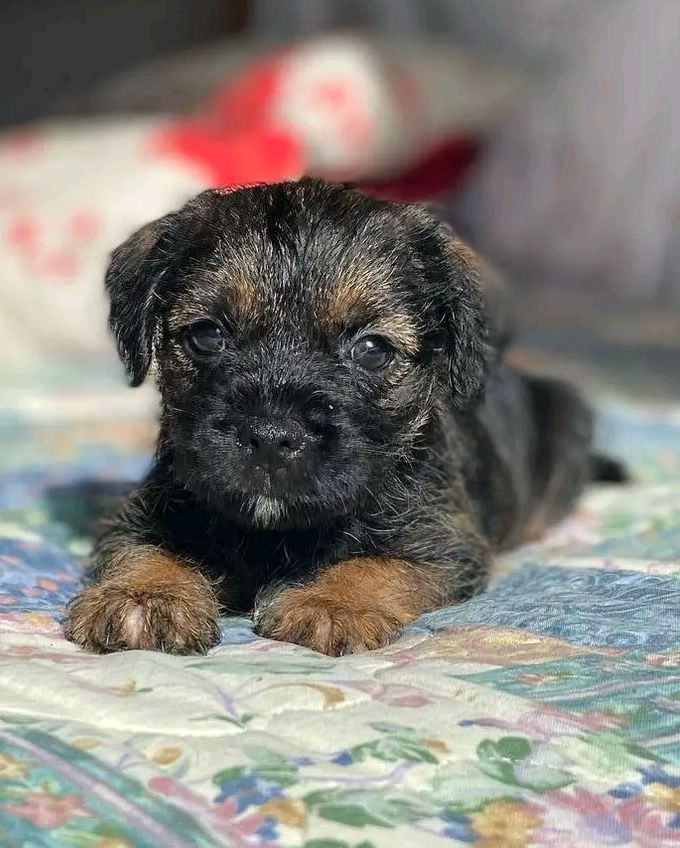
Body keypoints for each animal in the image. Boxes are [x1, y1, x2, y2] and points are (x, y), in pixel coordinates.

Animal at [65, 179, 600, 656]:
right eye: (207, 335)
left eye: (372, 349)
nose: (271, 435)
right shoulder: (145, 510)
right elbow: (147, 548)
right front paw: (144, 596)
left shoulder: (441, 540)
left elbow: (378, 561)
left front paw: (333, 602)